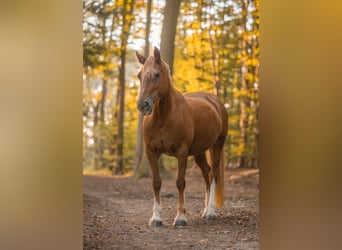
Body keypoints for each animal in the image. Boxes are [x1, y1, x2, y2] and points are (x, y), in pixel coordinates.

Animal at [136, 47, 227, 227]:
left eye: (156, 74)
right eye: (139, 75)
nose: (143, 105)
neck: (163, 117)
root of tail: (215, 102)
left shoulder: (182, 152)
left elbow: (180, 182)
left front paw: (181, 217)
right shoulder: (151, 152)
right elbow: (156, 182)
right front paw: (156, 218)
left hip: (217, 146)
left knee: (213, 174)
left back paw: (211, 212)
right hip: (199, 152)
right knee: (206, 173)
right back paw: (205, 211)